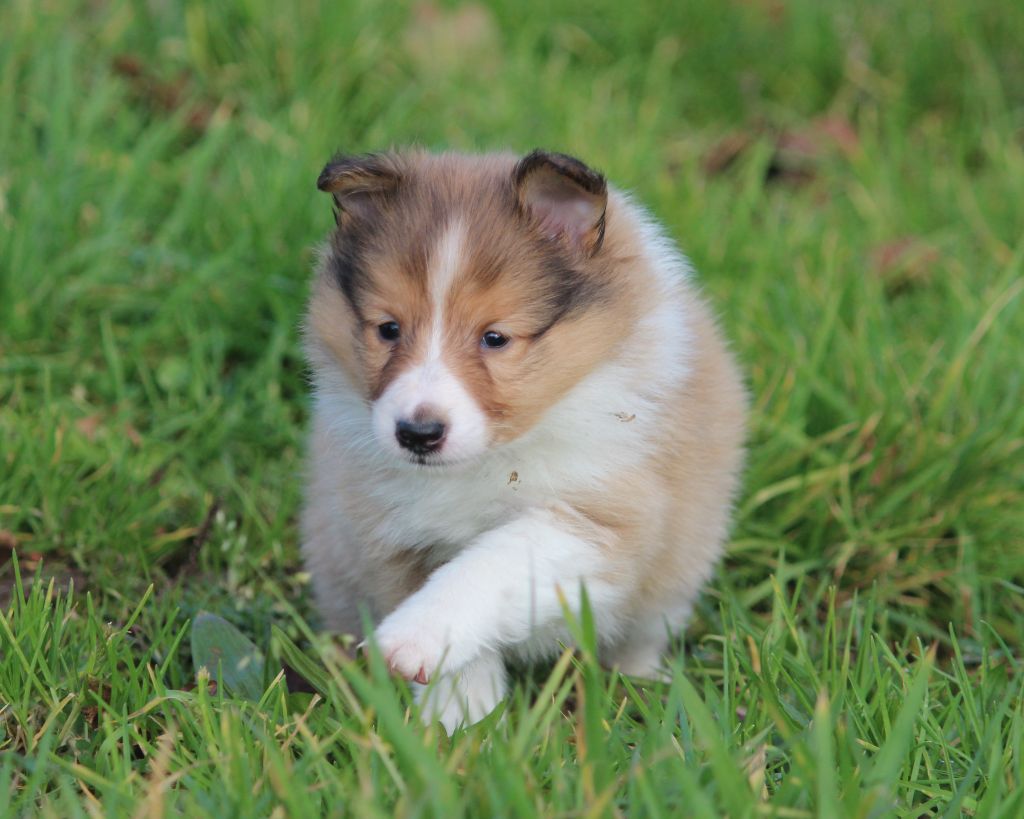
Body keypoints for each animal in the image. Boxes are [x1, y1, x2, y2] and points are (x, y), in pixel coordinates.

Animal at [299, 147, 749, 728]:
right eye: (388, 329)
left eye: (495, 338)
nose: (417, 434)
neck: (490, 459)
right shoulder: (390, 531)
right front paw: (462, 719)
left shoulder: (602, 517)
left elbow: (492, 562)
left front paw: (411, 640)